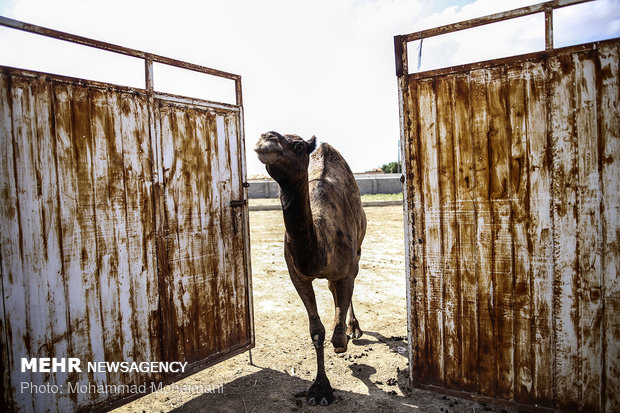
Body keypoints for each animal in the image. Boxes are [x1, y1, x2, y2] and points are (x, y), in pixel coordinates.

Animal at [254, 130, 366, 404]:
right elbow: (317, 331)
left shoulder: (347, 269)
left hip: (359, 245)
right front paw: (319, 390)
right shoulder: (298, 276)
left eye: (297, 145)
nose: (266, 137)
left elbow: (336, 334)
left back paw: (354, 329)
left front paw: (343, 339)